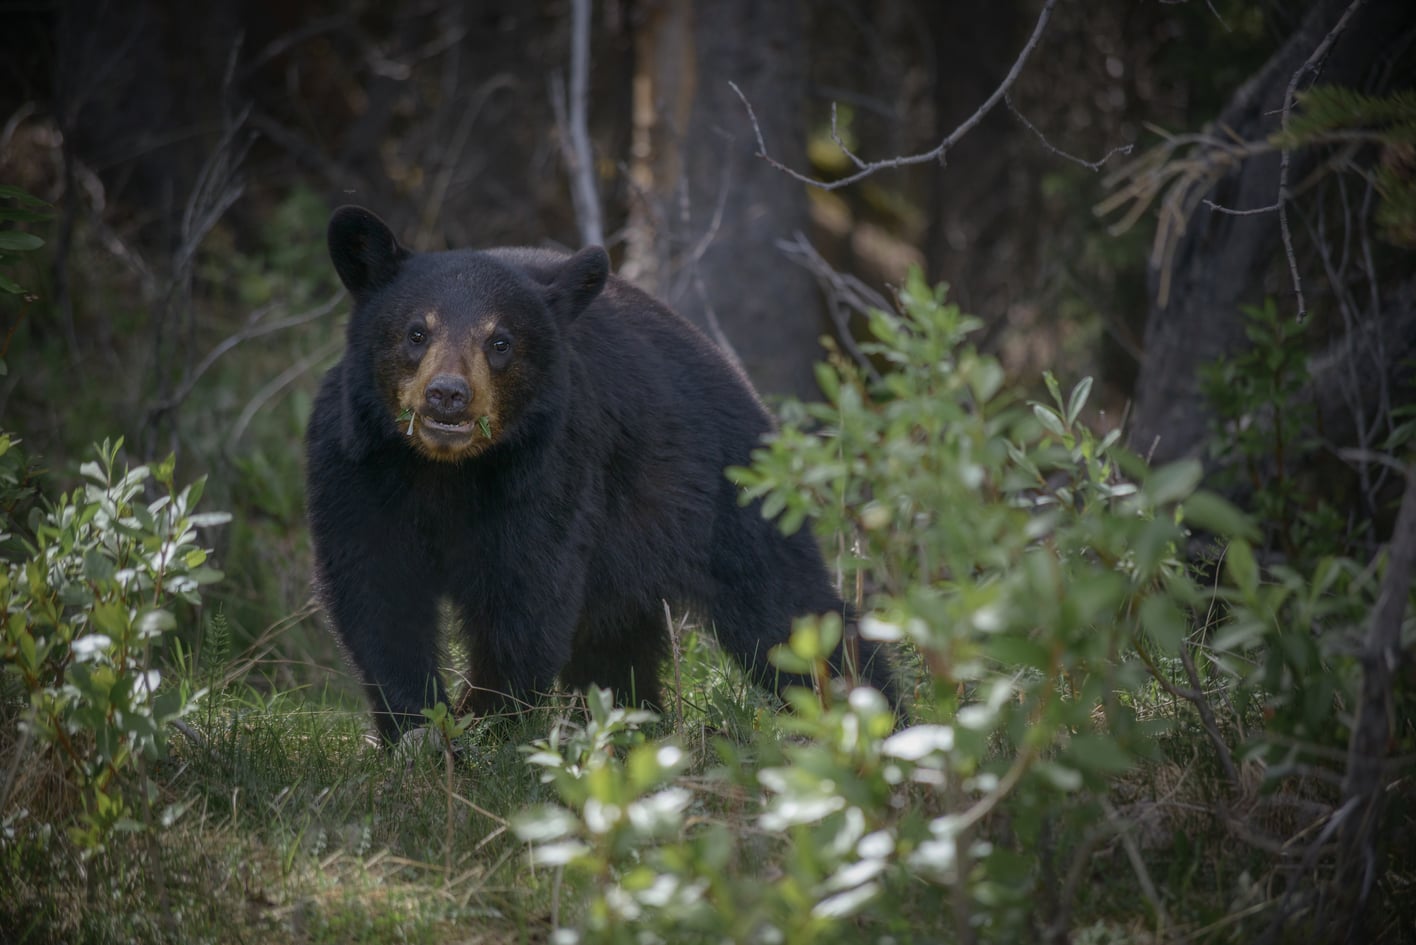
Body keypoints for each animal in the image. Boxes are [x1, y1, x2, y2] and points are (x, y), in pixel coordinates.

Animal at [307, 204, 894, 742]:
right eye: (416, 332)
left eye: (500, 341)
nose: (448, 395)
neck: (446, 470)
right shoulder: (355, 469)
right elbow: (377, 592)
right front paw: (416, 730)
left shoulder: (550, 475)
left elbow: (527, 596)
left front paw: (486, 725)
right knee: (615, 646)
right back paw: (637, 723)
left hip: (724, 495)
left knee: (788, 610)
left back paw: (872, 711)